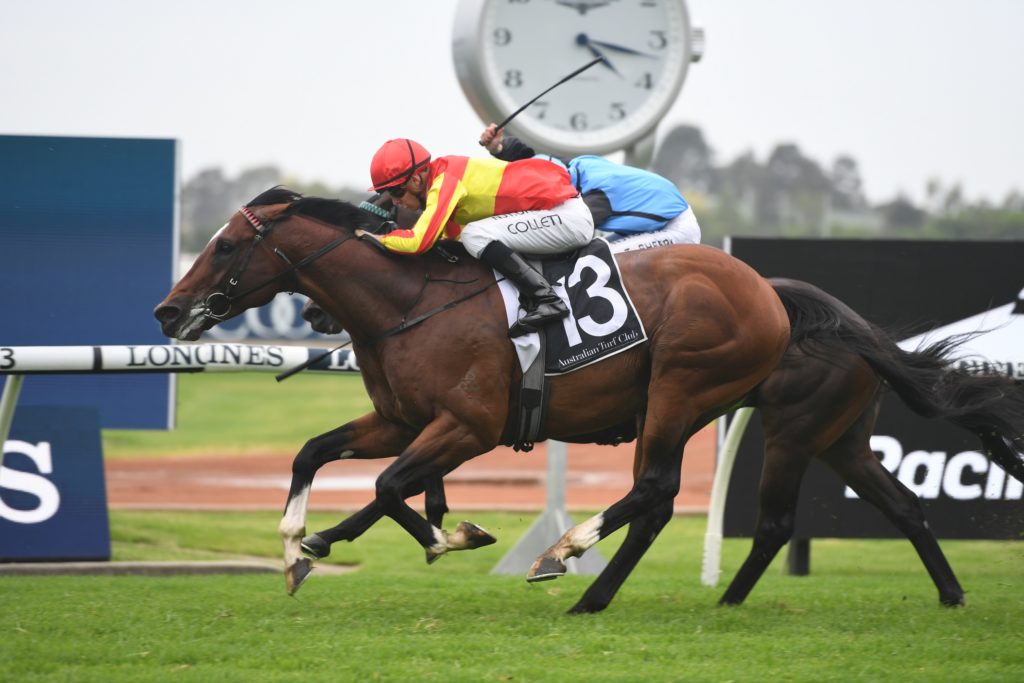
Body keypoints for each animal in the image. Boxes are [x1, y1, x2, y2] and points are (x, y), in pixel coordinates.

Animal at [154, 187, 792, 608]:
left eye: (226, 246)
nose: (168, 311)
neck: (412, 302)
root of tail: (769, 294)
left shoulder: (470, 425)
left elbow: (389, 485)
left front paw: (452, 537)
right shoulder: (400, 419)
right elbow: (314, 453)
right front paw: (294, 552)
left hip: (679, 390)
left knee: (655, 488)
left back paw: (561, 552)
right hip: (674, 408)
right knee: (654, 501)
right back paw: (591, 596)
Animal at [299, 284, 1024, 610]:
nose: (311, 314)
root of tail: (853, 325)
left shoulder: (464, 419)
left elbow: (390, 484)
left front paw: (327, 538)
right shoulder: (429, 419)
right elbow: (380, 481)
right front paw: (325, 537)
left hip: (781, 428)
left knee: (754, 517)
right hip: (837, 438)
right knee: (903, 506)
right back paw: (951, 593)